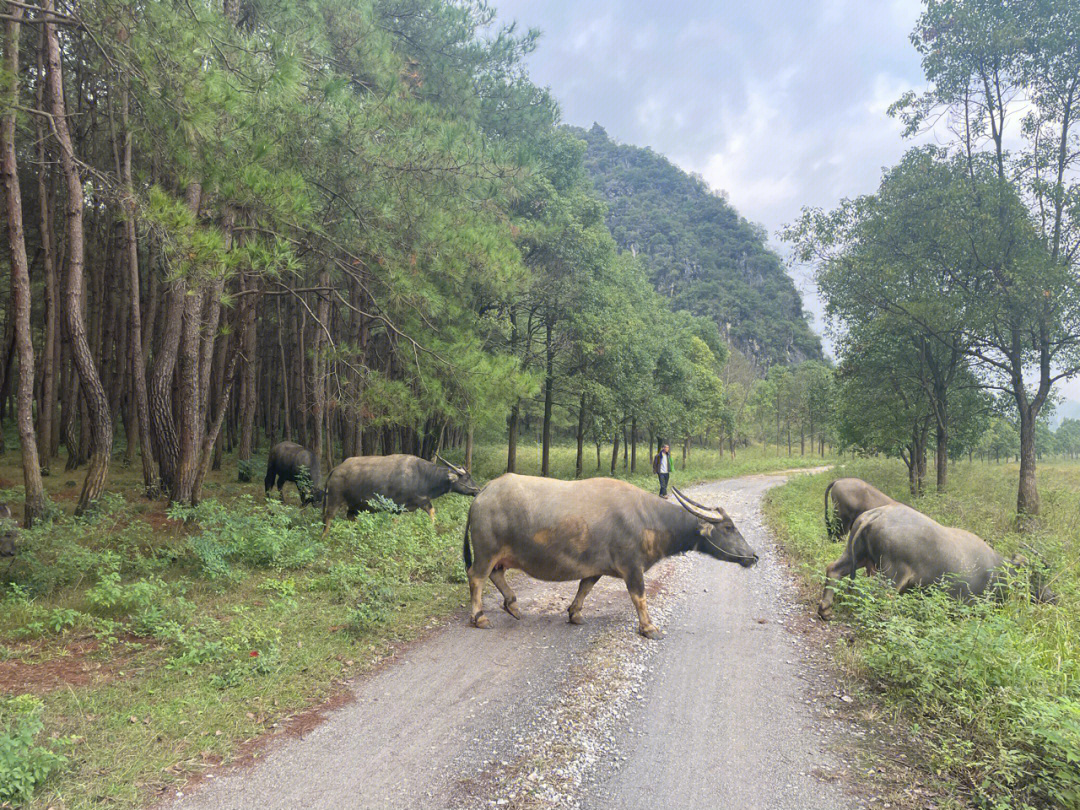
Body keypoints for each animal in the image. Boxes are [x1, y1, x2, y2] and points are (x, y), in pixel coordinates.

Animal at [319, 453, 481, 535]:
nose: (477, 490)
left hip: (355, 505)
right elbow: (396, 522)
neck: (422, 476)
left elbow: (432, 512)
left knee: (350, 517)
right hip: (334, 499)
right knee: (328, 517)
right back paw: (325, 537)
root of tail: (336, 469)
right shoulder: (397, 506)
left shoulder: (422, 501)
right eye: (467, 477)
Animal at [464, 475, 760, 639]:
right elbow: (639, 597)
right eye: (729, 527)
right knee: (477, 577)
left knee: (496, 574)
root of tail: (484, 492)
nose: (753, 556)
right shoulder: (632, 567)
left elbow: (585, 587)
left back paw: (513, 606)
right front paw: (649, 628)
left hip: (497, 555)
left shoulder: (594, 567)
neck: (649, 520)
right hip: (486, 551)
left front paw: (574, 614)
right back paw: (480, 617)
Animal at [816, 501, 1054, 622]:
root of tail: (875, 515)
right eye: (1036, 576)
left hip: (855, 553)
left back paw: (825, 609)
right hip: (891, 573)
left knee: (833, 569)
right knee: (880, 597)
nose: (1053, 597)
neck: (999, 571)